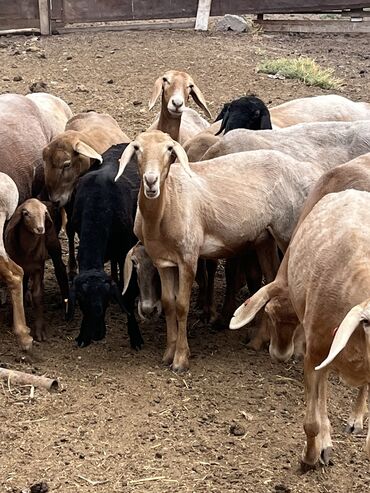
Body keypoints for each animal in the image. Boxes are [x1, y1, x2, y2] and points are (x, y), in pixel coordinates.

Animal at [4, 198, 68, 340]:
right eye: (26, 214)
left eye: (44, 213)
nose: (40, 229)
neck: (27, 251)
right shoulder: (18, 266)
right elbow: (19, 290)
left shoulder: (39, 268)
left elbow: (38, 295)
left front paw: (39, 332)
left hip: (54, 243)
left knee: (60, 268)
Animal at [66, 143, 143, 350]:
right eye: (82, 302)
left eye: (106, 299)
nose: (97, 335)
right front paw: (83, 335)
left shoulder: (125, 250)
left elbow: (128, 293)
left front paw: (135, 336)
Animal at [112, 130, 336, 368]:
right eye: (137, 148)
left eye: (169, 149)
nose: (151, 181)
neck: (167, 206)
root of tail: (308, 168)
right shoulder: (163, 261)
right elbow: (168, 303)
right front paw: (168, 353)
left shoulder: (188, 257)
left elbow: (182, 305)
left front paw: (181, 358)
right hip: (265, 237)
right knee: (271, 279)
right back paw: (258, 340)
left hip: (287, 231)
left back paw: (298, 349)